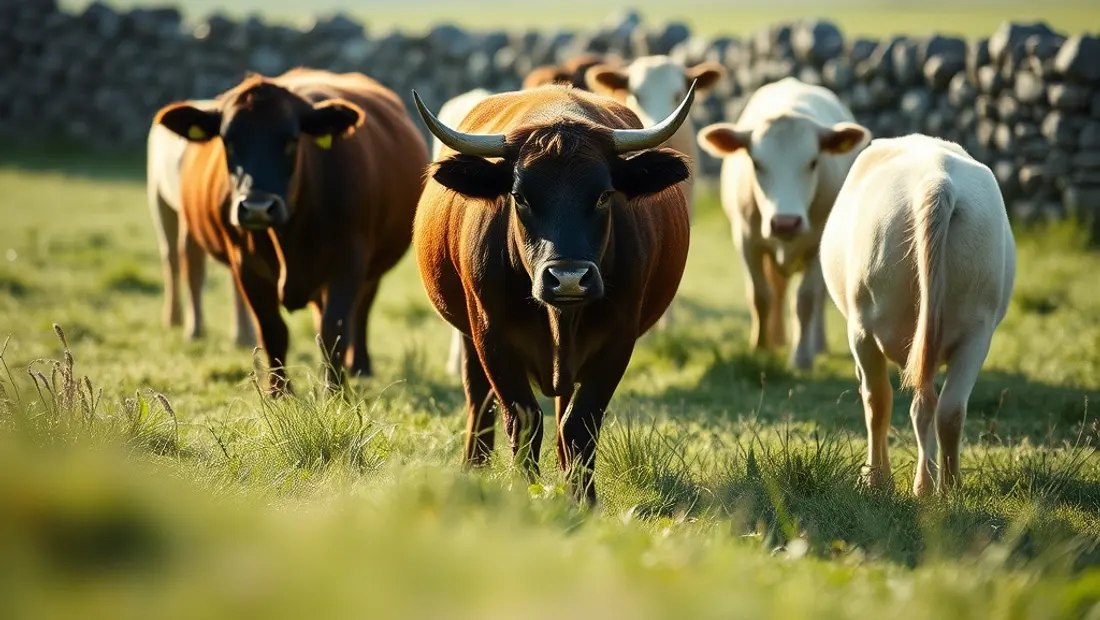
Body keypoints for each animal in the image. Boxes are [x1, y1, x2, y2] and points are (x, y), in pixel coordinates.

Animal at [146, 104, 255, 348]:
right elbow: (194, 268)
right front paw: (194, 330)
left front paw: (244, 335)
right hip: (159, 198)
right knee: (172, 259)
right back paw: (173, 318)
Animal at [411, 81, 698, 504]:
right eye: (520, 196)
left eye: (604, 195)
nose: (568, 278)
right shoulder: (490, 336)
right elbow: (524, 418)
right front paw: (525, 491)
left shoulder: (618, 339)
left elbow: (580, 421)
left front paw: (583, 498)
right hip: (467, 335)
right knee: (478, 398)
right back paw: (474, 466)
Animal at [695, 77, 871, 370]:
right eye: (756, 163)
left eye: (813, 162)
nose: (786, 223)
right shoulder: (747, 240)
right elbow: (760, 295)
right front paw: (761, 347)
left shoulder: (816, 248)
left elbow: (806, 300)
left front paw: (801, 358)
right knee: (777, 289)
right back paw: (777, 338)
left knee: (819, 297)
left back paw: (818, 345)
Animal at [819, 134, 1016, 497]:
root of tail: (937, 179)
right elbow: (927, 405)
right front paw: (924, 485)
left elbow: (878, 401)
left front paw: (878, 479)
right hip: (976, 329)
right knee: (948, 408)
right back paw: (946, 488)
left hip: (865, 324)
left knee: (878, 399)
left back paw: (882, 479)